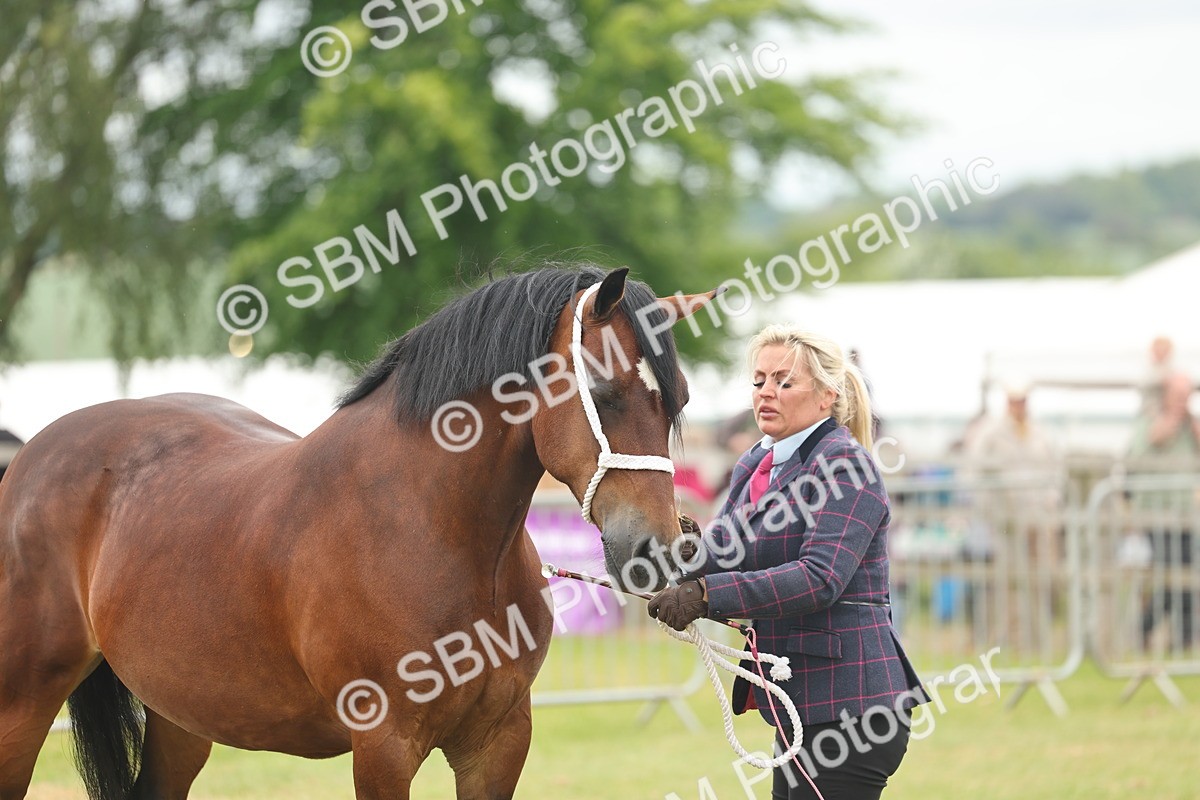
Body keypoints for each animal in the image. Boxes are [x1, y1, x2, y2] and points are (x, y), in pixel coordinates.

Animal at [0, 264, 720, 799]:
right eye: (603, 393)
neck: (431, 528)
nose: (657, 551)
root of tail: (32, 457)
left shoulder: (498, 741)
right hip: (23, 704)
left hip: (183, 713)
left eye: (678, 400)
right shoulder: (384, 748)